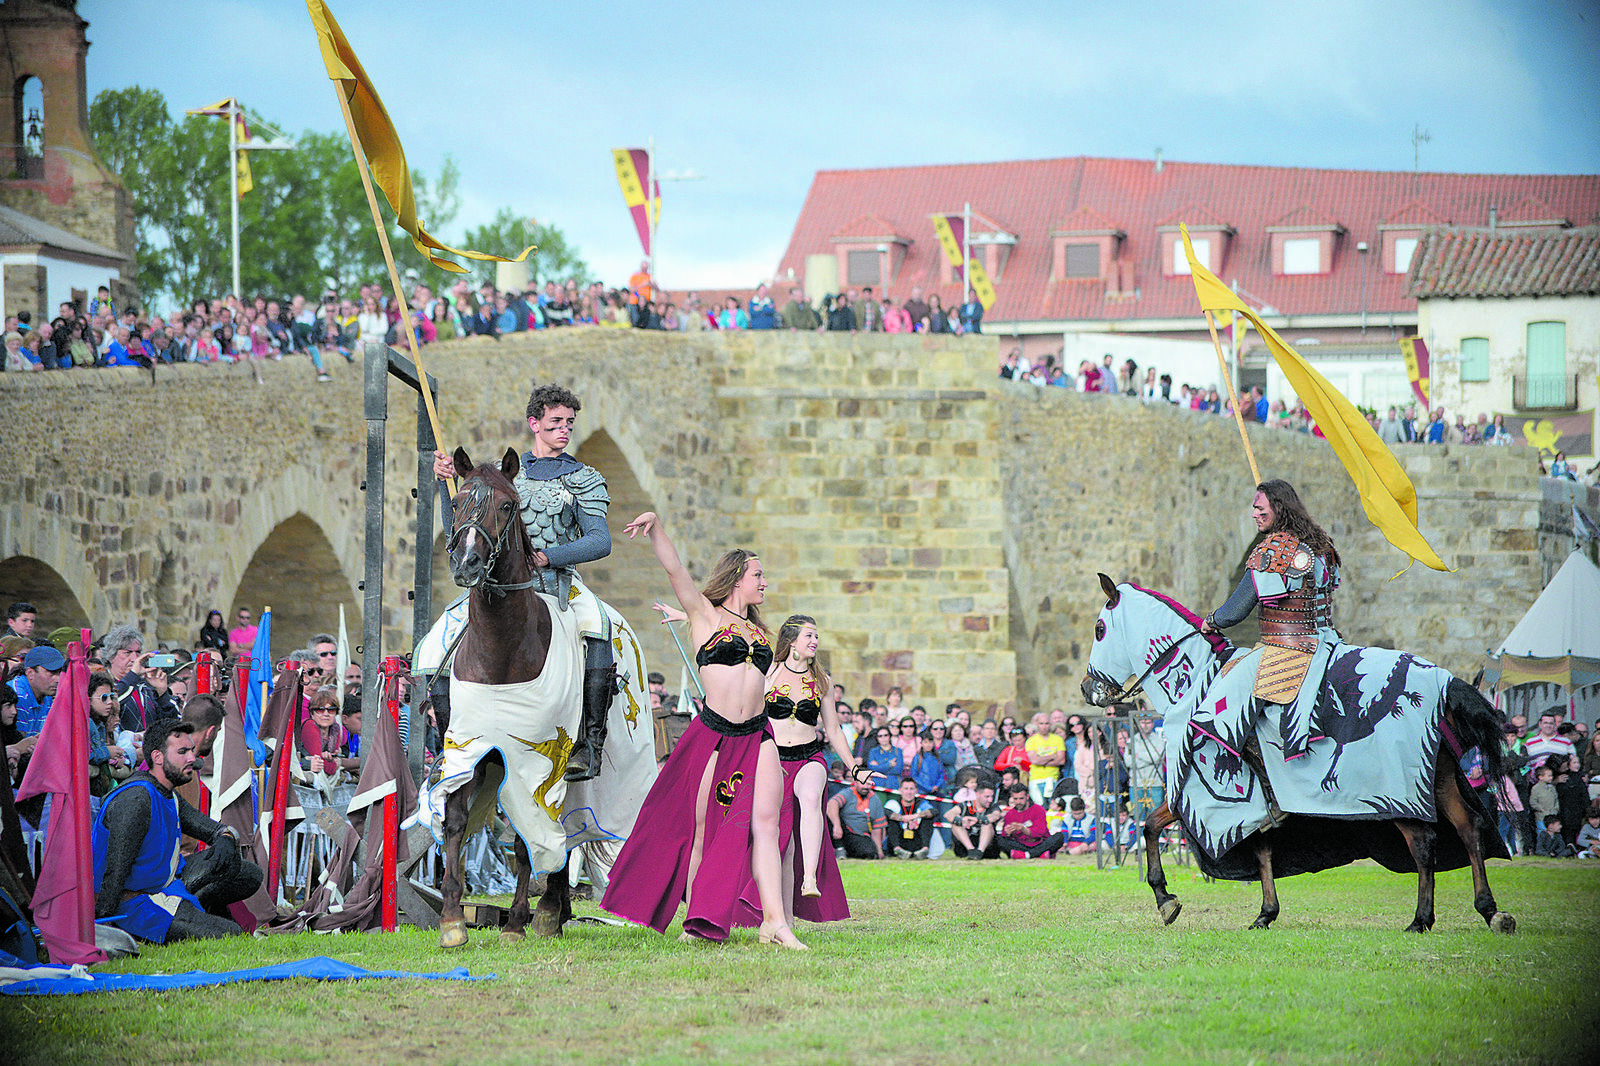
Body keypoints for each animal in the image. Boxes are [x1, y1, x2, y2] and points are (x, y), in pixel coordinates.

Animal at [441, 444, 579, 941]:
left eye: (506, 505)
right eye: (457, 500)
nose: (466, 564)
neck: (501, 648)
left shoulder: (533, 761)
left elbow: (524, 838)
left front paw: (519, 921)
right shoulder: (468, 749)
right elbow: (456, 823)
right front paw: (451, 920)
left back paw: (551, 910)